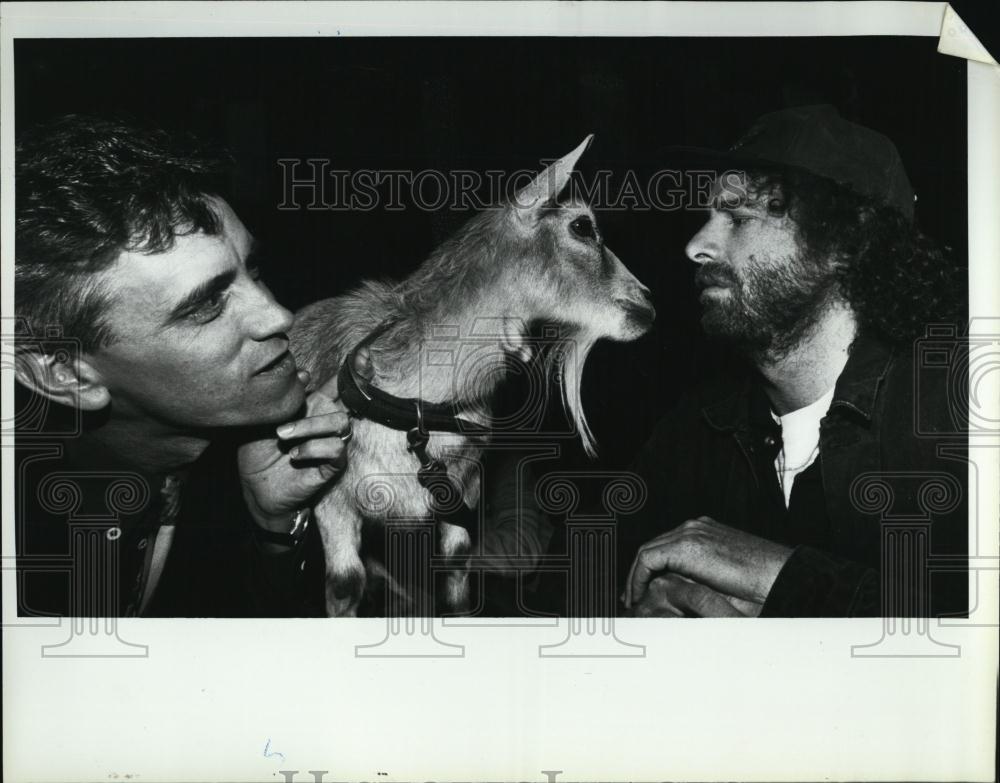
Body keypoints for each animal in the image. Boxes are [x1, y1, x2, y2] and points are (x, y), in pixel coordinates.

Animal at [288, 136, 656, 620]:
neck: (418, 406)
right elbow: (346, 584)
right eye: (582, 226)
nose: (648, 305)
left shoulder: (464, 493)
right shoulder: (332, 501)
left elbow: (457, 579)